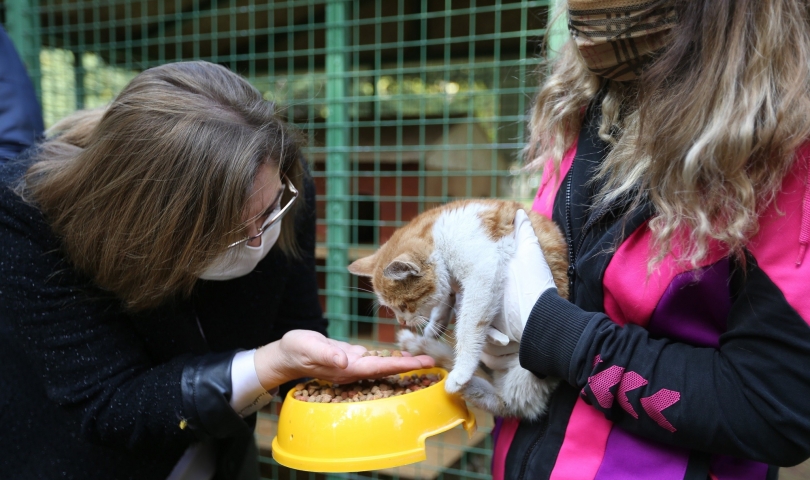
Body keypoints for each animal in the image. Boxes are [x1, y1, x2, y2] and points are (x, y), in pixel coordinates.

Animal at [348, 200, 568, 420]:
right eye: (391, 308)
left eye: (403, 306)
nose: (401, 322)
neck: (441, 234)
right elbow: (445, 301)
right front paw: (434, 328)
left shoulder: (482, 273)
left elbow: (468, 326)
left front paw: (462, 369)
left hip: (526, 373)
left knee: (509, 402)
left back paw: (459, 382)